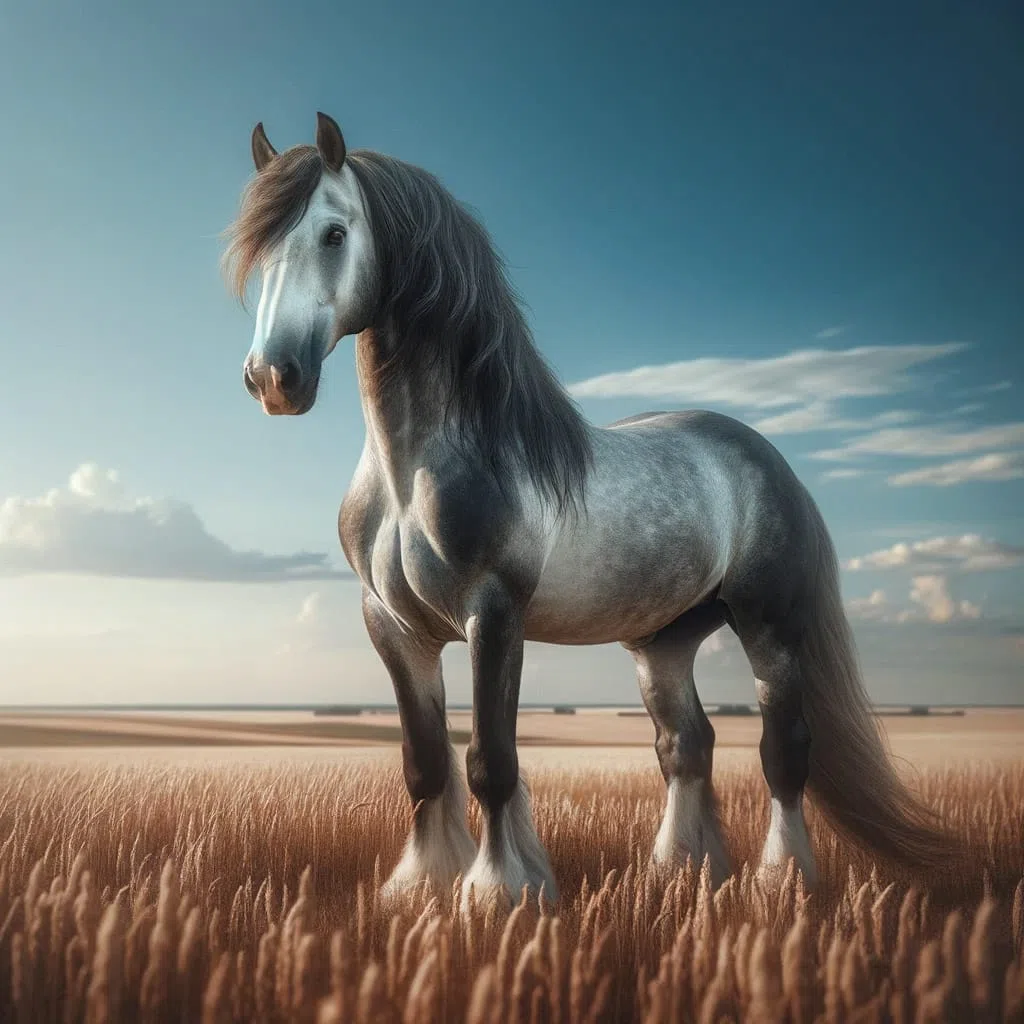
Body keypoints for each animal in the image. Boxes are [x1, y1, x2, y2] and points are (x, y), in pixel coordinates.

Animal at [222, 112, 952, 907]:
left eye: (333, 233)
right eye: (257, 247)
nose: (273, 378)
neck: (411, 473)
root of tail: (767, 459)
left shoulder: (493, 616)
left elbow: (490, 761)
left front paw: (499, 890)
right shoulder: (393, 627)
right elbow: (425, 764)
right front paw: (420, 885)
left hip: (771, 629)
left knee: (783, 754)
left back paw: (782, 880)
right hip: (663, 645)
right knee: (687, 745)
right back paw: (678, 871)